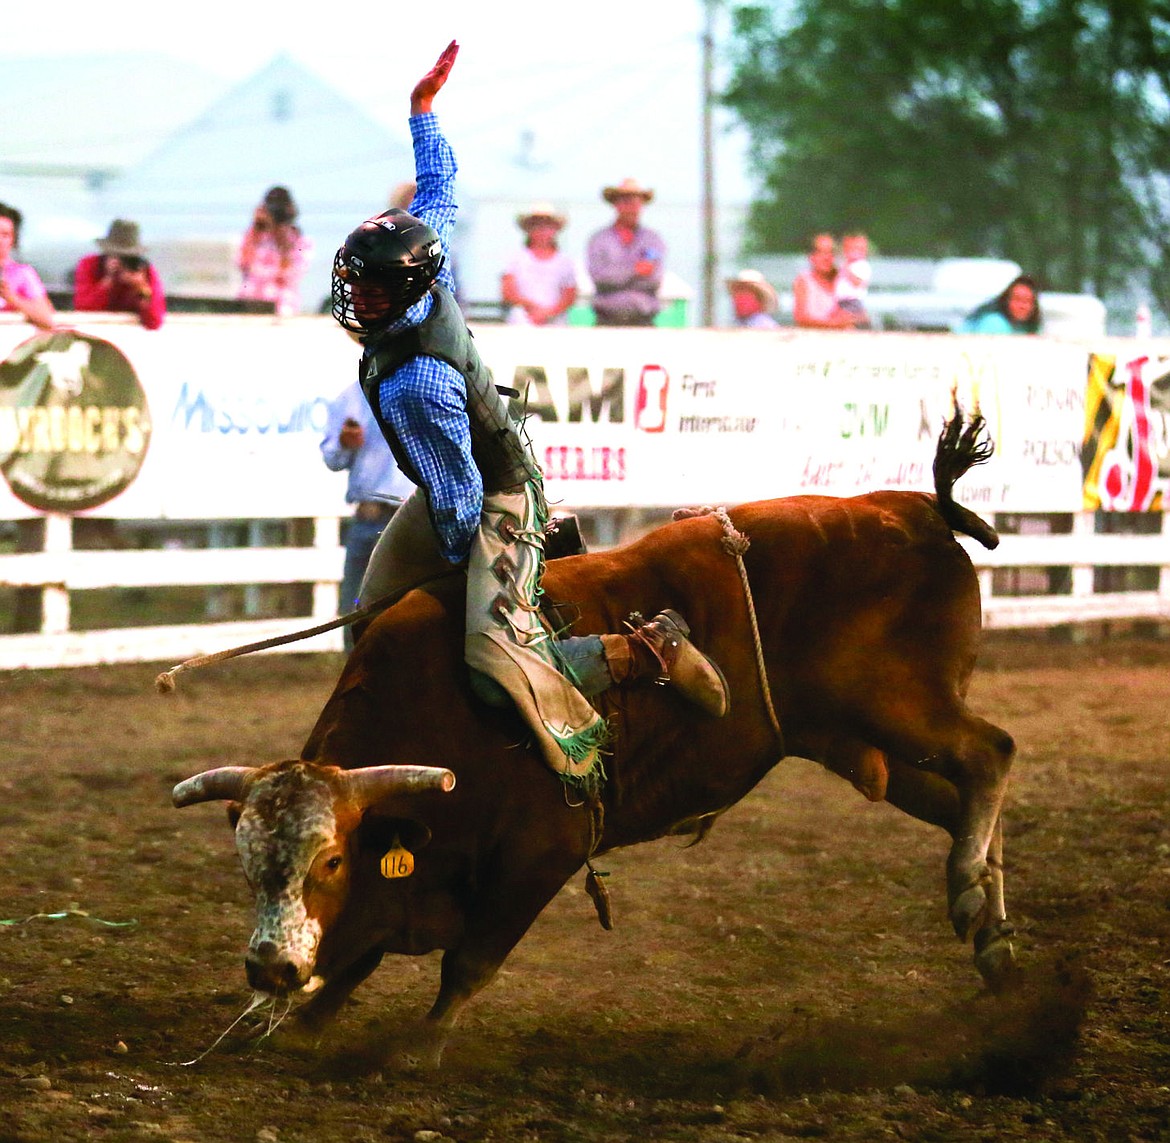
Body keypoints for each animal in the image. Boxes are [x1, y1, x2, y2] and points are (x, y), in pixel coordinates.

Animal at [170, 414, 1015, 1066]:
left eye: (331, 860)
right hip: (853, 738)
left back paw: (972, 893)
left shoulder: (541, 852)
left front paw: (420, 1044)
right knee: (963, 804)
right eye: (249, 864)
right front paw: (303, 1023)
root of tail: (918, 508)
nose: (270, 966)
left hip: (899, 705)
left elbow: (469, 959)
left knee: (991, 753)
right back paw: (992, 936)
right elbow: (359, 950)